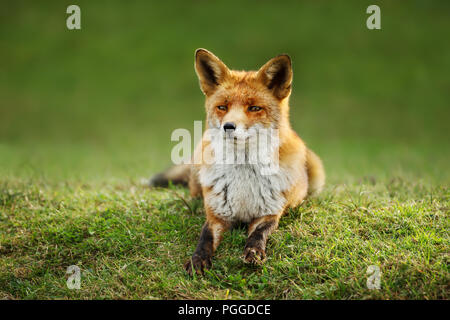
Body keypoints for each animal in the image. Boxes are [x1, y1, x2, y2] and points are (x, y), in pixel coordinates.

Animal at [150, 48, 324, 274]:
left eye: (254, 108)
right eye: (222, 107)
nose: (229, 126)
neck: (244, 177)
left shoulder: (270, 213)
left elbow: (259, 234)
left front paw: (254, 252)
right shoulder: (216, 214)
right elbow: (205, 237)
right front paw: (198, 259)